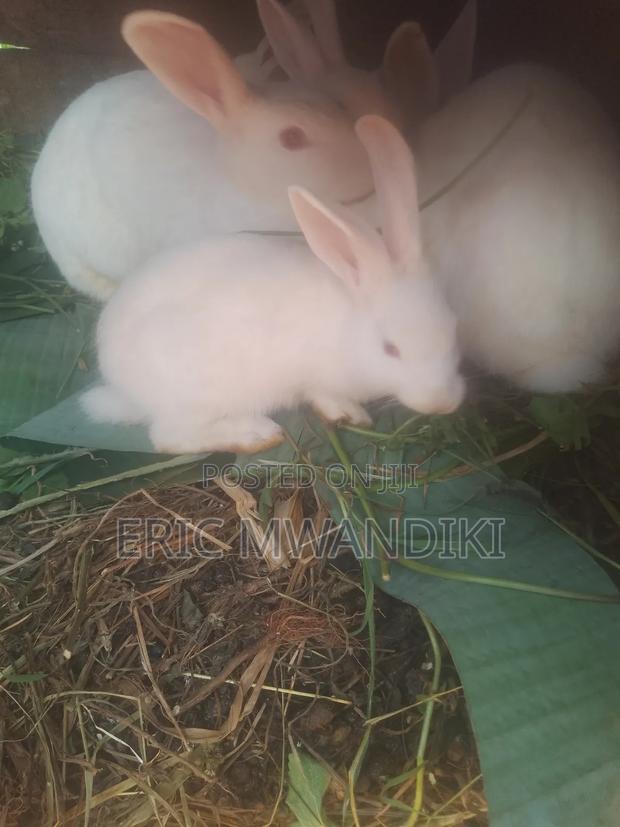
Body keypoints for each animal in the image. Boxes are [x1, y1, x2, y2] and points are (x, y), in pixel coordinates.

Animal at [81, 115, 465, 454]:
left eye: (453, 331)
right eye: (390, 348)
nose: (442, 403)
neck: (348, 324)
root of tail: (121, 386)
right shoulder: (315, 378)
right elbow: (324, 395)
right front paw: (352, 415)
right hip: (199, 396)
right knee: (167, 437)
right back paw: (255, 434)